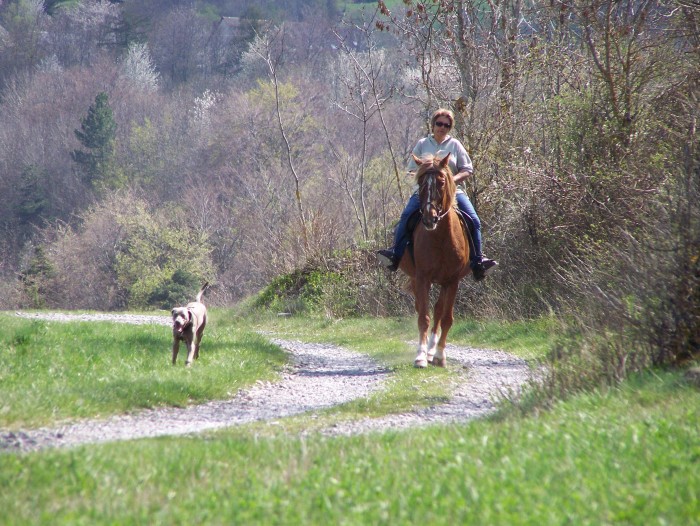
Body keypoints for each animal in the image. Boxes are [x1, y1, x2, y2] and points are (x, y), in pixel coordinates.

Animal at [400, 154, 470, 368]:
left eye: (441, 182)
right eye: (421, 183)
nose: (430, 219)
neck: (441, 237)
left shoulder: (453, 281)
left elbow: (446, 318)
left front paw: (439, 355)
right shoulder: (423, 277)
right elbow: (424, 316)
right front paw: (420, 356)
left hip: (444, 282)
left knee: (439, 311)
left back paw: (432, 350)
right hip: (418, 278)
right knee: (424, 308)